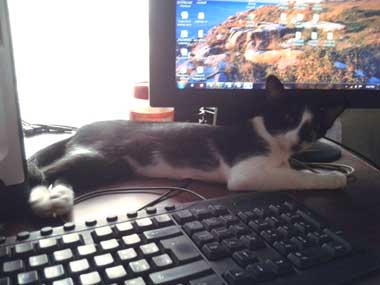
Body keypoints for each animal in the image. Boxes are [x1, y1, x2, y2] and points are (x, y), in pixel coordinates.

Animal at [26, 75, 348, 215]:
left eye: (313, 129)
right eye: (287, 118)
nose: (298, 140)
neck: (271, 140)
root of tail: (81, 128)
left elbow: (293, 168)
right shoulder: (247, 171)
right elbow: (295, 176)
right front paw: (332, 177)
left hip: (111, 165)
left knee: (64, 174)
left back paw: (60, 198)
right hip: (97, 153)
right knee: (46, 170)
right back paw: (41, 198)